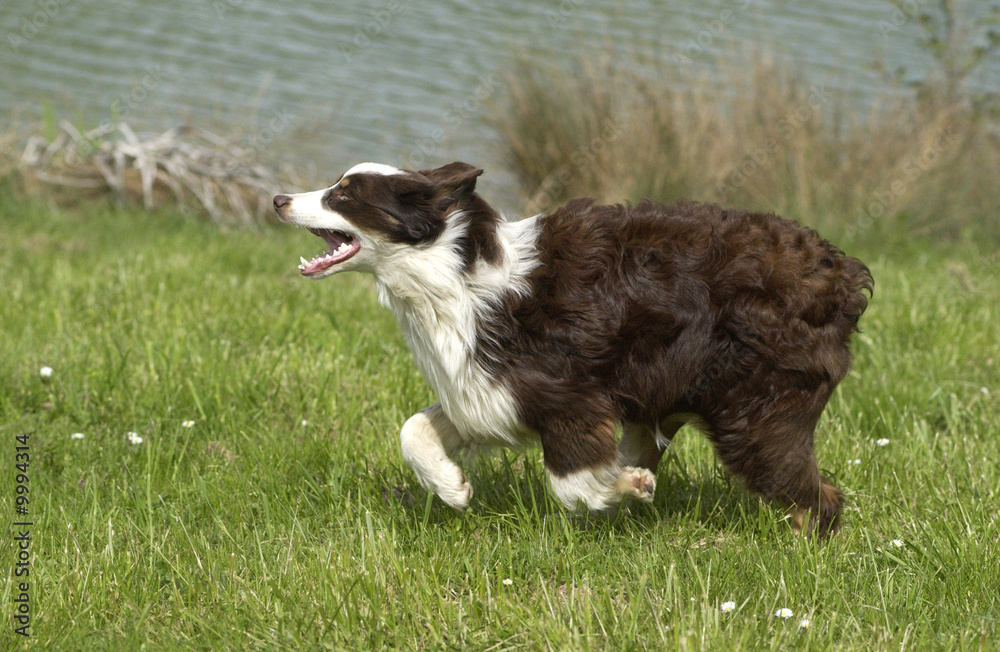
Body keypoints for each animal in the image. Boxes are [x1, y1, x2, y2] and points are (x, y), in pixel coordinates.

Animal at [272, 162, 868, 536]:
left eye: (343, 194)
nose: (278, 199)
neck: (454, 273)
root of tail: (840, 274)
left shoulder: (569, 398)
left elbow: (572, 486)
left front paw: (628, 486)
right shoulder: (487, 389)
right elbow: (413, 429)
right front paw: (452, 488)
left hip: (756, 414)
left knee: (820, 499)